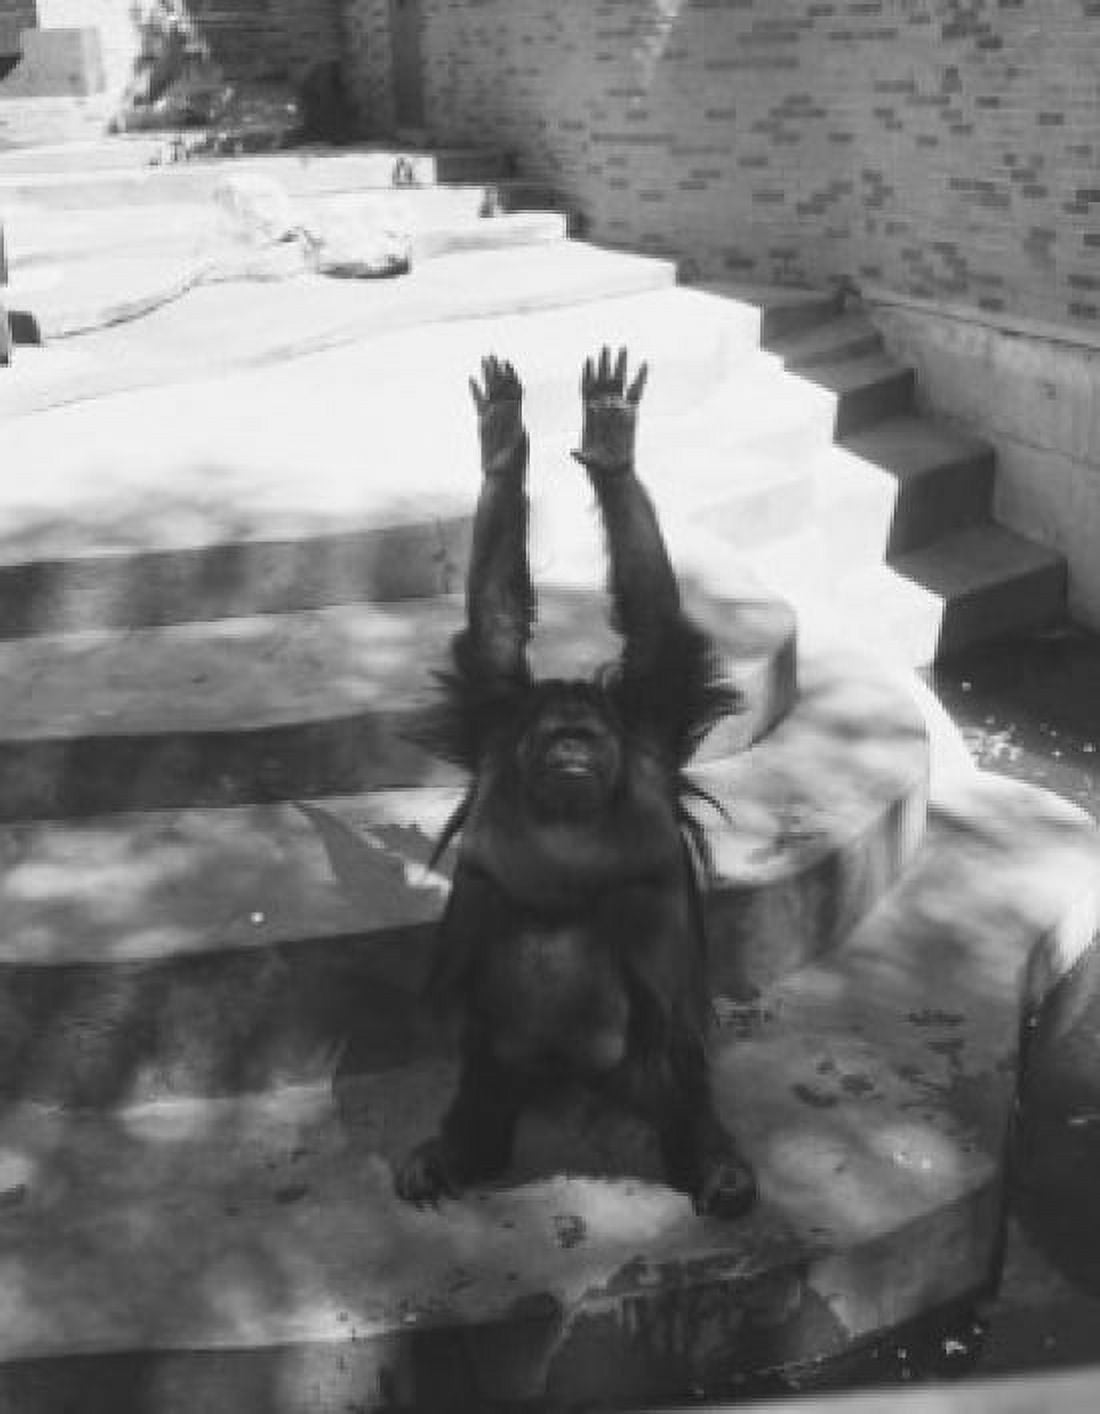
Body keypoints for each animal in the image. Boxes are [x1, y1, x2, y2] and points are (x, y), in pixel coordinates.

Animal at [393, 347, 757, 1219]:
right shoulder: (495, 717)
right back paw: (450, 1156)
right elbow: (496, 621)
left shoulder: (653, 722)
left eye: (586, 736)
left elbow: (654, 620)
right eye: (554, 735)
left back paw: (718, 1168)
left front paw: (612, 450)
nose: (568, 751)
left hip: (651, 1065)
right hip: (498, 1070)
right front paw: (502, 448)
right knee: (482, 1100)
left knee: (680, 1088)